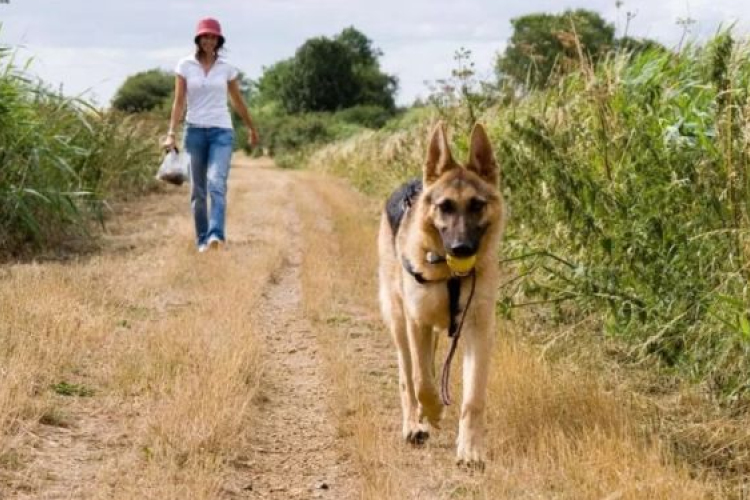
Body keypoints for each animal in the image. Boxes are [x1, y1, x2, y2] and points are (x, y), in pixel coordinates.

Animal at [382, 123, 506, 466]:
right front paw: (434, 412)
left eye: (477, 205)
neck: (450, 277)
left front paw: (470, 449)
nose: (461, 249)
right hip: (400, 325)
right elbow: (422, 381)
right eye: (445, 207)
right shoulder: (417, 323)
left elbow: (473, 397)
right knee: (408, 376)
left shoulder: (478, 330)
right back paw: (415, 424)